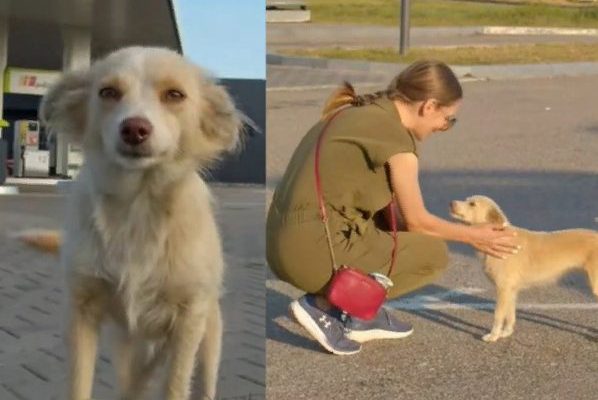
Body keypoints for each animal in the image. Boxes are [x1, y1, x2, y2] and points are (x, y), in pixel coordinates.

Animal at [29, 47, 245, 400]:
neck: (138, 206)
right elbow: (78, 385)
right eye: (108, 92)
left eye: (175, 95)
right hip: (130, 351)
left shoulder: (188, 320)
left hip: (207, 338)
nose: (134, 129)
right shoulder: (81, 312)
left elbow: (174, 387)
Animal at [452, 195, 596, 342]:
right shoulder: (511, 290)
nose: (451, 203)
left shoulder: (503, 289)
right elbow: (510, 314)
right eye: (467, 200)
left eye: (472, 204)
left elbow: (498, 315)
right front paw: (506, 332)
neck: (500, 237)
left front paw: (493, 336)